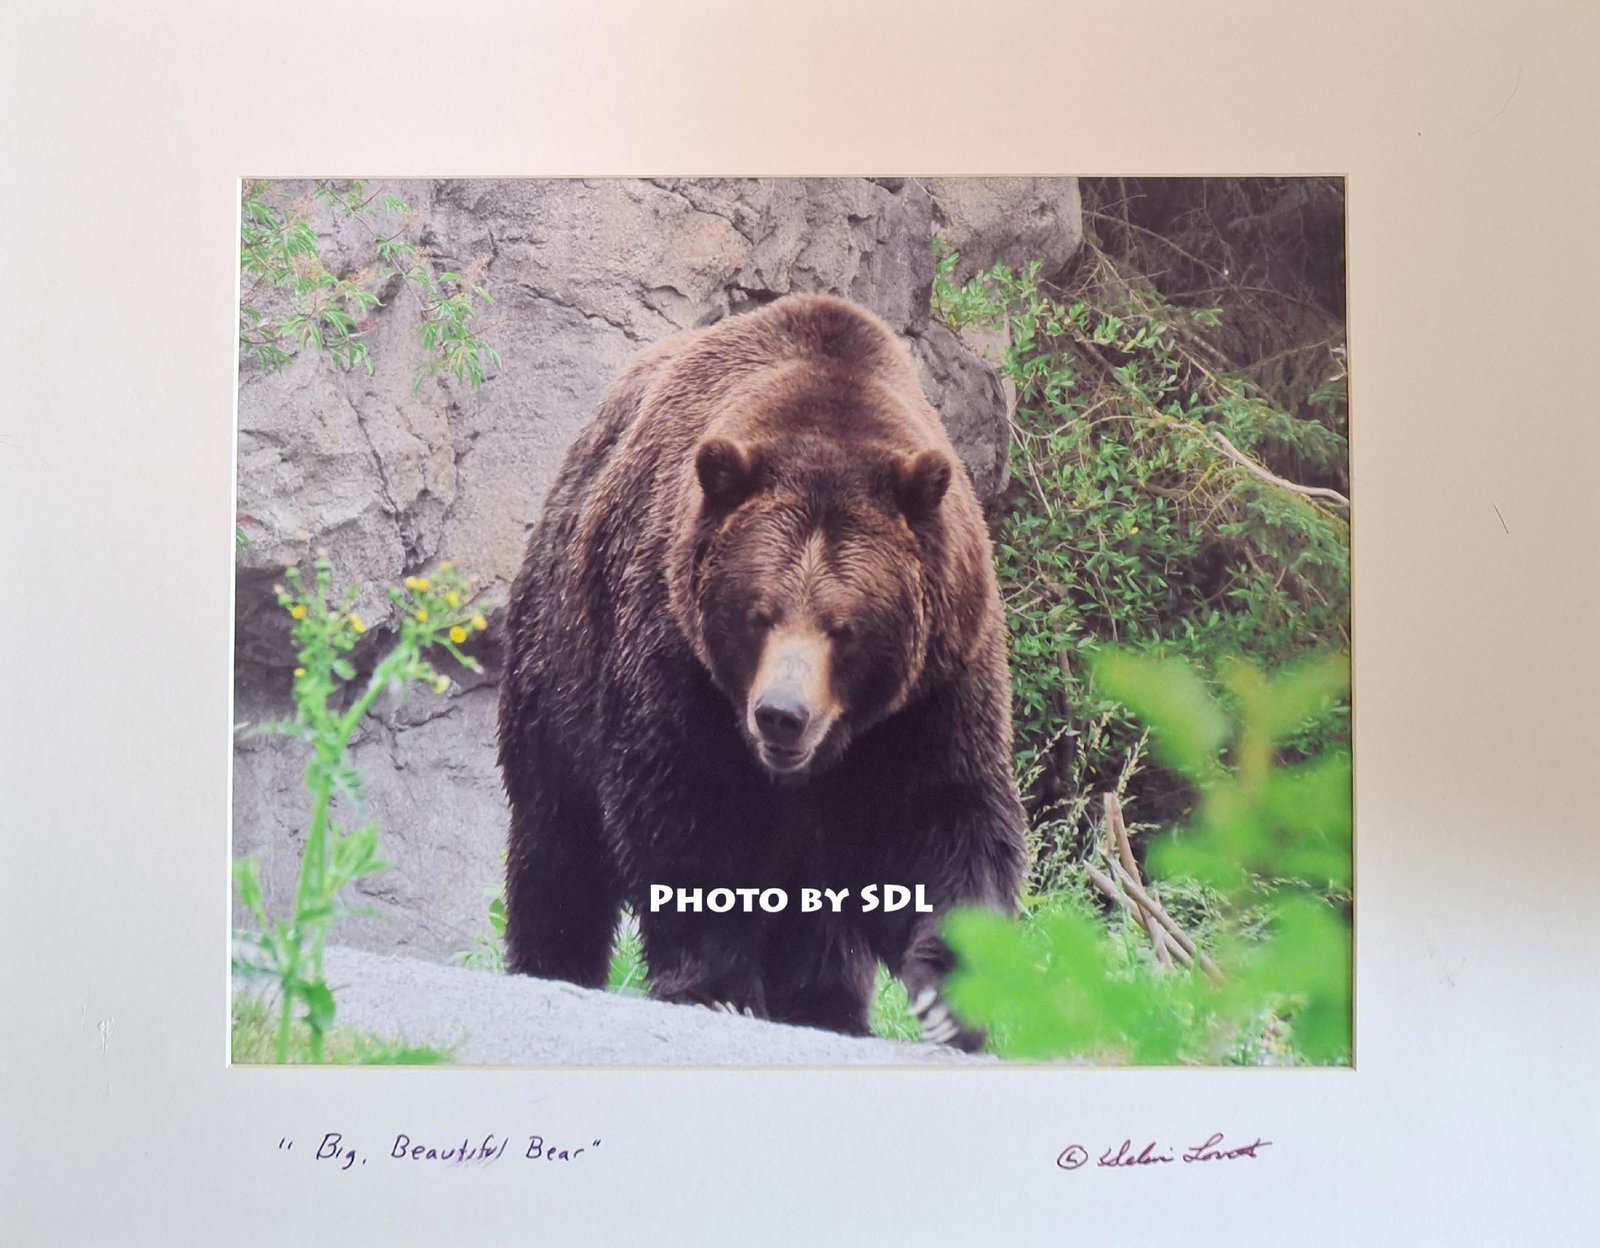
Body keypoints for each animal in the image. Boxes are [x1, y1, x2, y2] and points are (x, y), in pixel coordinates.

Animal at [496, 293, 1025, 1050]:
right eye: (758, 613)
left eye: (845, 626)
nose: (781, 715)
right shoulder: (678, 656)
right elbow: (690, 809)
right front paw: (716, 987)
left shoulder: (933, 688)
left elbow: (944, 819)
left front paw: (950, 1001)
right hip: (560, 652)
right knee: (558, 835)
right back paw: (553, 960)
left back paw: (828, 1003)